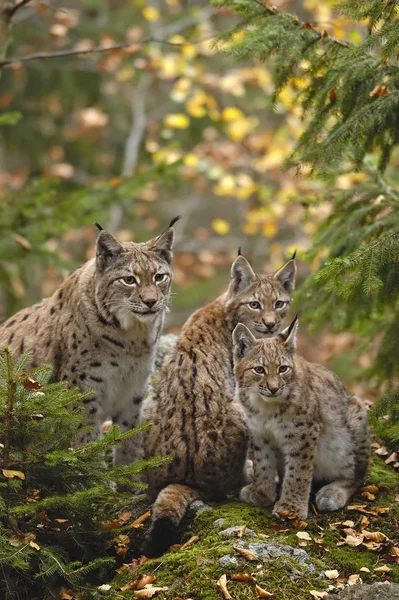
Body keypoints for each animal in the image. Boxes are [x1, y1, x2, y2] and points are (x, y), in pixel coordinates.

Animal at [233, 316, 370, 516]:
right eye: (259, 370)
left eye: (283, 369)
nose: (274, 388)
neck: (264, 406)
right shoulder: (259, 432)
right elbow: (262, 463)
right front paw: (262, 492)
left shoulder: (304, 431)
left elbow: (299, 470)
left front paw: (291, 507)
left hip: (355, 414)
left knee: (358, 474)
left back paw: (333, 493)